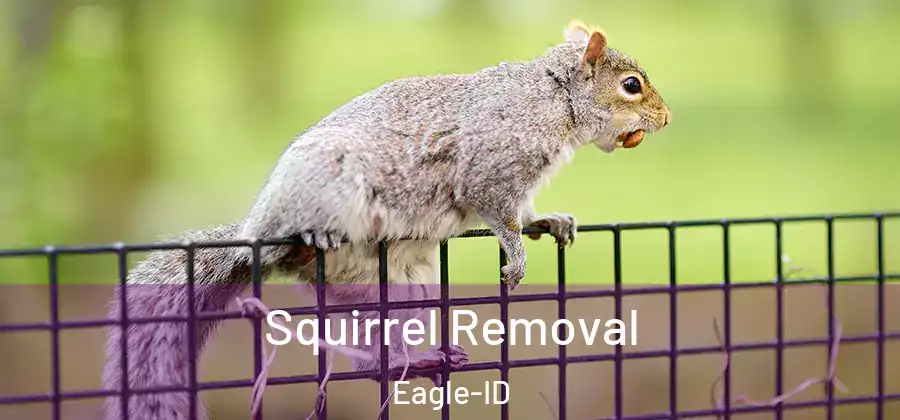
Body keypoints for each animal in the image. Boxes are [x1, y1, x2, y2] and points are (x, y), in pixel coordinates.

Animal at [101, 20, 670, 420]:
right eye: (631, 85)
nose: (666, 119)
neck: (553, 98)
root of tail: (251, 236)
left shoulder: (519, 183)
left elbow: (525, 212)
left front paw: (550, 222)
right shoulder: (489, 167)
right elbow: (498, 213)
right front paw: (516, 255)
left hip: (399, 290)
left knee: (372, 358)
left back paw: (416, 360)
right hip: (325, 187)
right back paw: (307, 239)